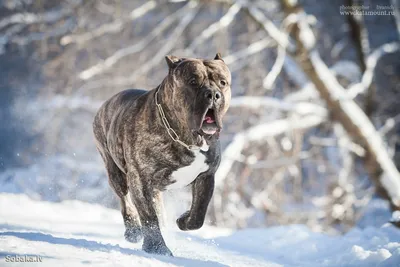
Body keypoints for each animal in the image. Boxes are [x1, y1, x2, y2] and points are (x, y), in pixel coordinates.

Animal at [92, 53, 231, 256]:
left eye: (223, 82)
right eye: (193, 82)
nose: (213, 94)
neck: (186, 138)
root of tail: (105, 104)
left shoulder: (206, 175)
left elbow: (199, 212)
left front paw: (184, 219)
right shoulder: (140, 179)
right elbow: (149, 218)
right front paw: (157, 248)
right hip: (115, 172)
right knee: (124, 199)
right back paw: (133, 230)